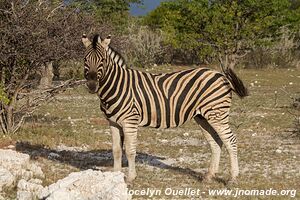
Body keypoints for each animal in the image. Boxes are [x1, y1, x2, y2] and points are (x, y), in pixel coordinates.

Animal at [81, 34, 248, 183]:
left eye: (103, 60)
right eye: (85, 59)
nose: (92, 85)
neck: (117, 86)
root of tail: (220, 75)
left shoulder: (130, 121)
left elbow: (129, 151)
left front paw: (130, 178)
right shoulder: (113, 122)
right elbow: (116, 150)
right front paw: (115, 176)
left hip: (217, 114)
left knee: (230, 141)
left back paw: (233, 178)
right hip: (203, 117)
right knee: (216, 142)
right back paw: (209, 176)